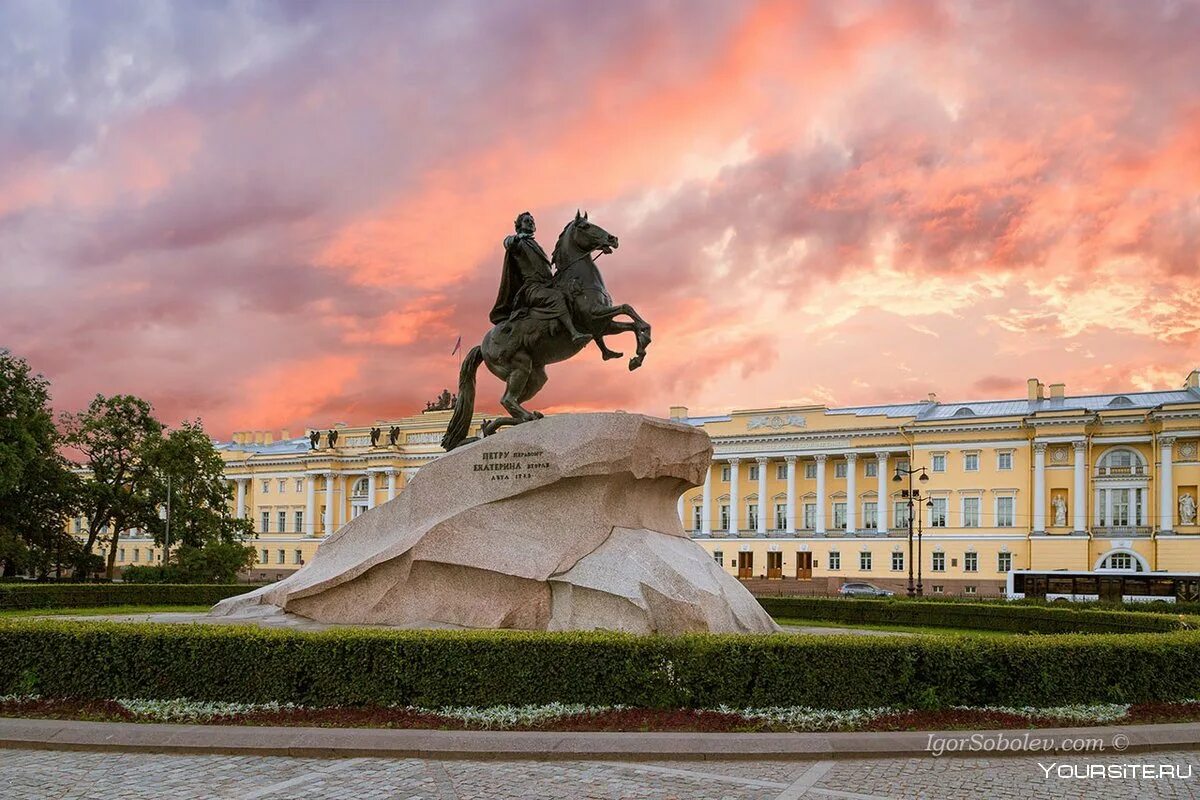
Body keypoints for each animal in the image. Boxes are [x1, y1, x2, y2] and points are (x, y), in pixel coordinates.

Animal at [441, 209, 652, 450]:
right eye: (585, 227)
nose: (613, 239)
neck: (578, 279)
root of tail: (482, 345)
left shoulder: (605, 325)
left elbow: (633, 322)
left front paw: (637, 355)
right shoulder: (594, 316)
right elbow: (628, 309)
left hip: (535, 377)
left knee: (511, 404)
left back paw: (498, 425)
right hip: (520, 367)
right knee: (507, 399)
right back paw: (521, 418)